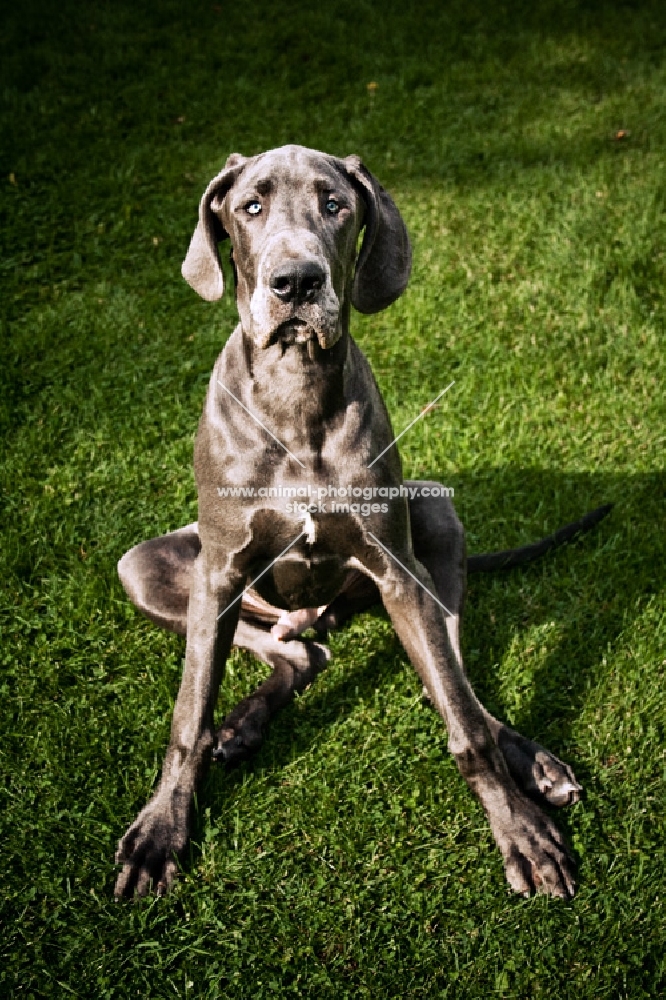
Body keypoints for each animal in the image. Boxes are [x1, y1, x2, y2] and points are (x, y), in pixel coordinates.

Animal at [114, 145, 608, 904]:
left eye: (334, 204)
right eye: (250, 205)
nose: (296, 281)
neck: (294, 393)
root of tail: (325, 613)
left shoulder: (398, 571)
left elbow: (464, 724)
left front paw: (520, 833)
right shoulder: (218, 570)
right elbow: (187, 719)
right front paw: (160, 830)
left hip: (432, 513)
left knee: (454, 683)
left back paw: (535, 764)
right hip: (147, 568)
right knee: (300, 654)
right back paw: (243, 725)